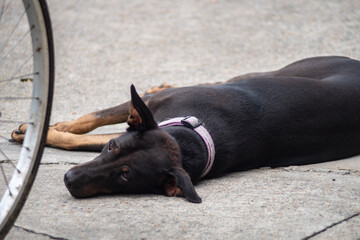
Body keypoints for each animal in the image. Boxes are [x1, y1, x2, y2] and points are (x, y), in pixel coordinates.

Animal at [11, 55, 360, 202]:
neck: (190, 137)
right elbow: (92, 120)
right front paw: (42, 128)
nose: (69, 179)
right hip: (276, 71)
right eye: (113, 149)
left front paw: (43, 132)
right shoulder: (152, 107)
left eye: (125, 176)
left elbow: (80, 139)